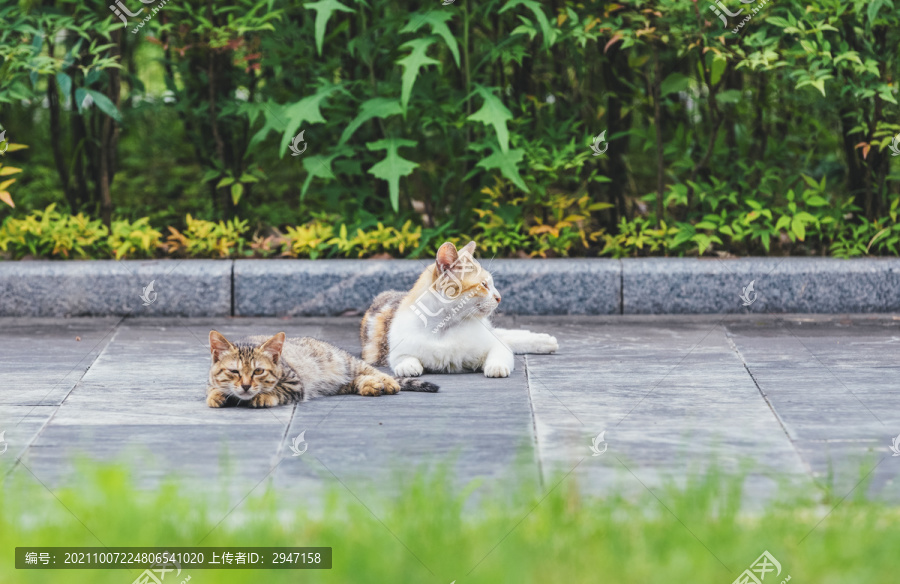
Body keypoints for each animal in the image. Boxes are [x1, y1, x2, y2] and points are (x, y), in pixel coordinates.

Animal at [207, 330, 440, 408]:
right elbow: (212, 387)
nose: (246, 386)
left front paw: (263, 396)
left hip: (347, 362)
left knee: (372, 371)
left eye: (258, 371)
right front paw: (216, 395)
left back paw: (387, 382)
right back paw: (371, 386)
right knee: (354, 382)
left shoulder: (294, 383)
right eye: (234, 372)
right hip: (340, 383)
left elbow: (277, 390)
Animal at [360, 238, 560, 378]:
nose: (499, 297)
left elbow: (501, 352)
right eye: (484, 285)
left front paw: (496, 366)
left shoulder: (495, 345)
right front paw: (407, 366)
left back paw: (545, 341)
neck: (444, 326)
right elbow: (403, 358)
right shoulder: (396, 351)